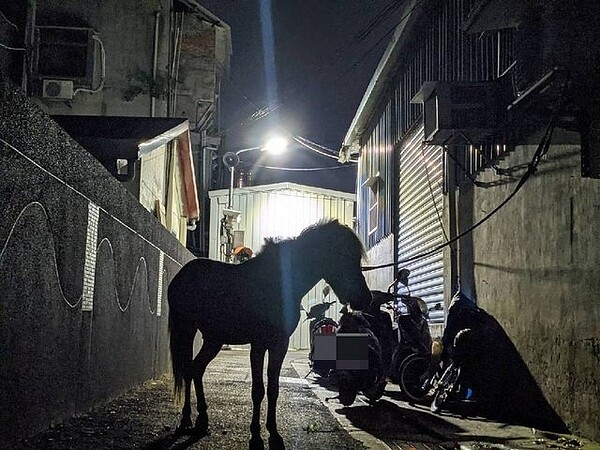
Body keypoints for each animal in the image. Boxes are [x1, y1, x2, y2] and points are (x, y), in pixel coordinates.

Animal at [168, 220, 370, 448]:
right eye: (342, 254)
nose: (366, 298)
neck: (277, 283)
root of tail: (180, 276)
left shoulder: (279, 344)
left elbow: (273, 389)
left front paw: (273, 432)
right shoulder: (258, 344)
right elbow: (258, 390)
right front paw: (255, 434)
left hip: (213, 339)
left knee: (196, 368)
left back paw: (202, 420)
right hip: (186, 329)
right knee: (186, 370)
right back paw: (186, 419)